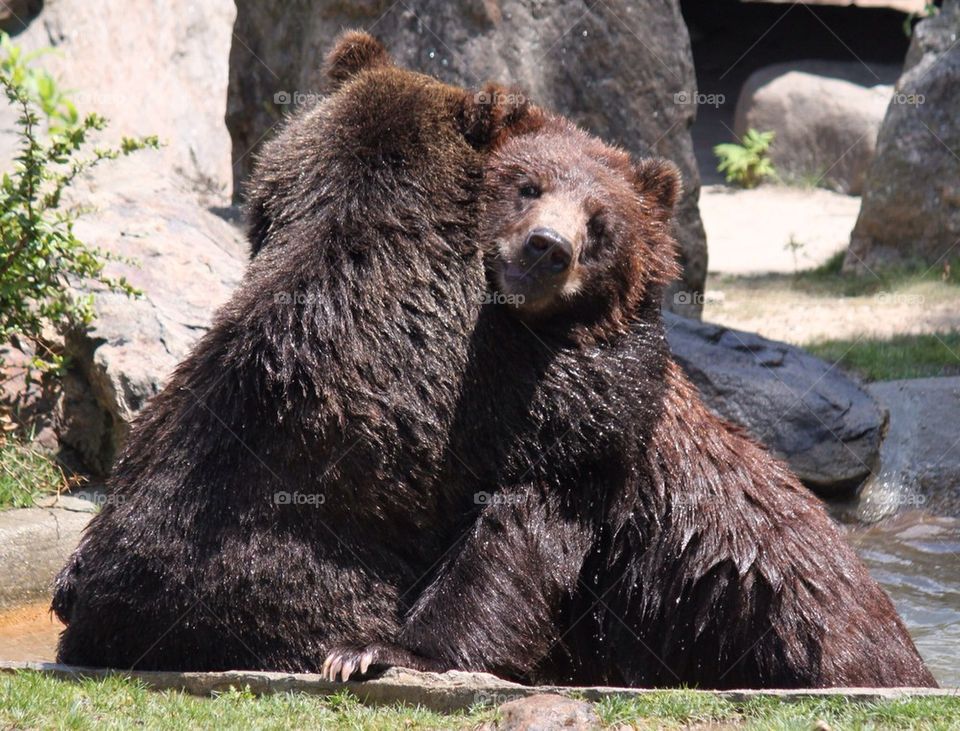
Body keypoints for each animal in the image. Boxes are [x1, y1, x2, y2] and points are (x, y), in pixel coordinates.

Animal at [323, 113, 937, 689]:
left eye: (600, 223)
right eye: (527, 186)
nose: (548, 247)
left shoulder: (588, 460)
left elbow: (509, 552)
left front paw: (371, 649)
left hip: (788, 629)